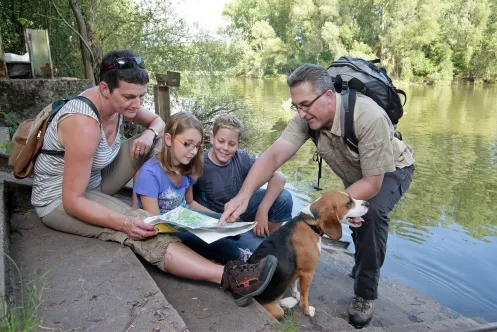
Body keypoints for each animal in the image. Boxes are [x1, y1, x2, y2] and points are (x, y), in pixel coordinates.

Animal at [246, 191, 366, 320]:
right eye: (349, 202)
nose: (368, 203)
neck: (310, 224)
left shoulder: (298, 270)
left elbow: (294, 284)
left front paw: (295, 293)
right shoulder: (308, 272)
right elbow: (305, 298)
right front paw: (307, 311)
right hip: (275, 309)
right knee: (281, 309)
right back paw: (288, 302)